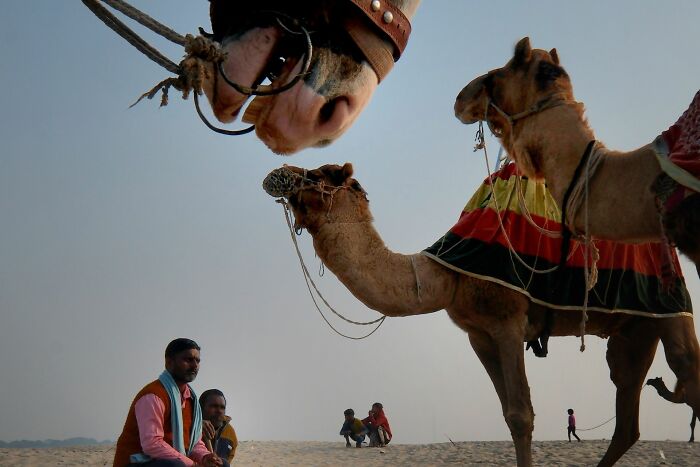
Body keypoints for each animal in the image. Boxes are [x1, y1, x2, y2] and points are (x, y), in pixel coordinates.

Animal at [263, 162, 700, 467]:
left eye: (321, 174)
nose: (276, 174)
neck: (450, 271)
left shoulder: (508, 322)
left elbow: (522, 414)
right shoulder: (479, 335)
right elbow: (508, 415)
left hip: (671, 305)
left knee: (685, 369)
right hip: (634, 329)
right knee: (627, 411)